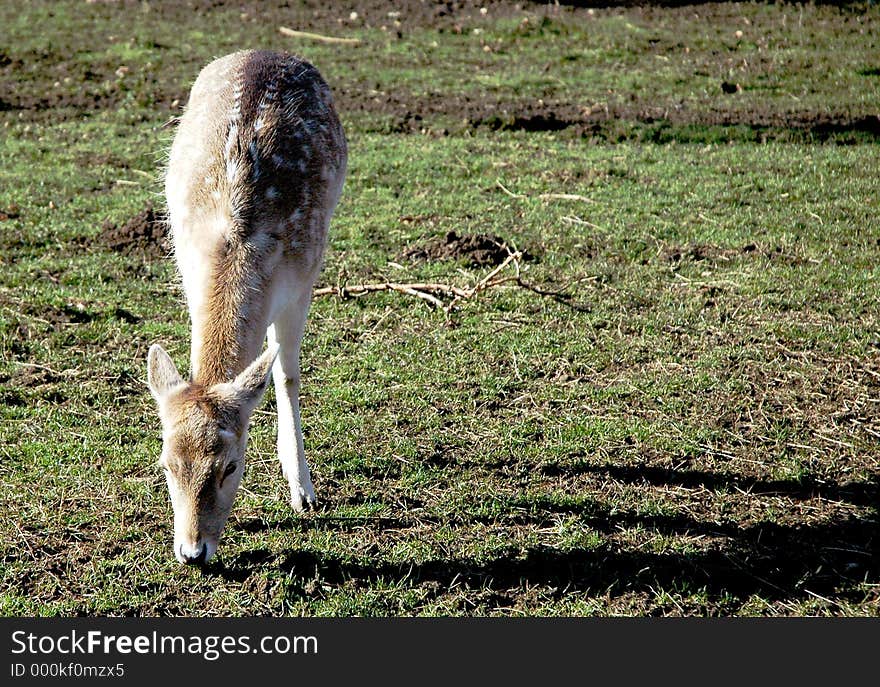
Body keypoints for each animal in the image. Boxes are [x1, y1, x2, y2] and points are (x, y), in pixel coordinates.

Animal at [145, 49, 348, 564]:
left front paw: (303, 491)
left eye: (231, 466)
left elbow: (287, 374)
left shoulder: (302, 280)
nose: (192, 552)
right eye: (166, 464)